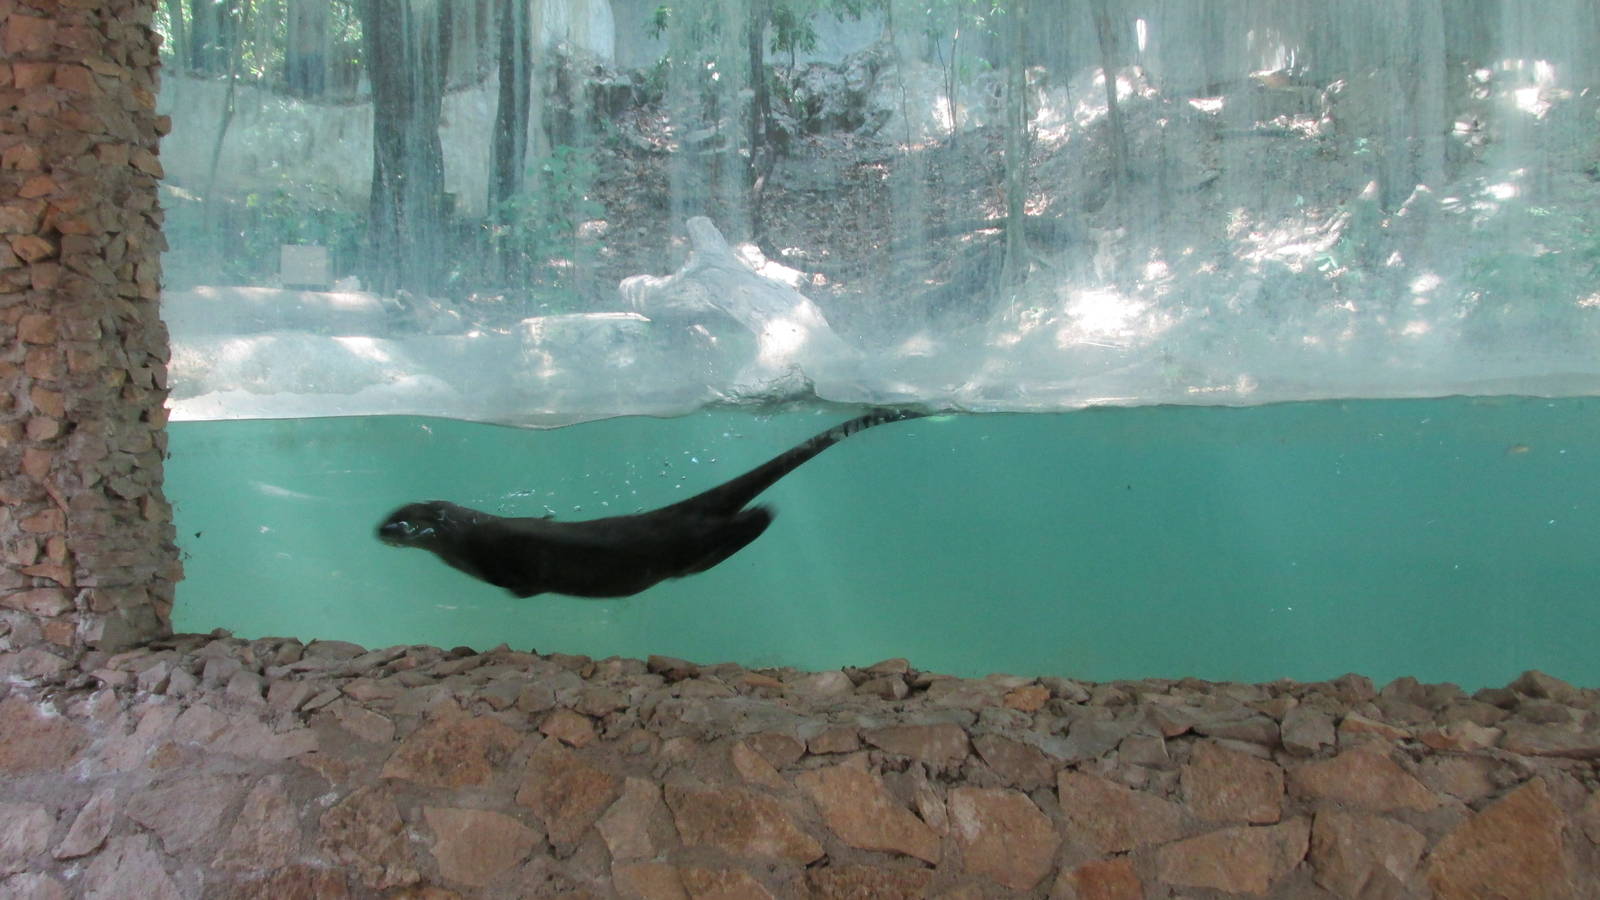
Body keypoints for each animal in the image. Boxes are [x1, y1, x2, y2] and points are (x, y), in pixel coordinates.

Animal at [377, 408, 925, 597]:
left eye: (400, 522)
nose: (377, 530)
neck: (465, 533)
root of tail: (674, 510)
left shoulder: (493, 558)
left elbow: (515, 581)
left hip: (680, 544)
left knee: (737, 529)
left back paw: (766, 515)